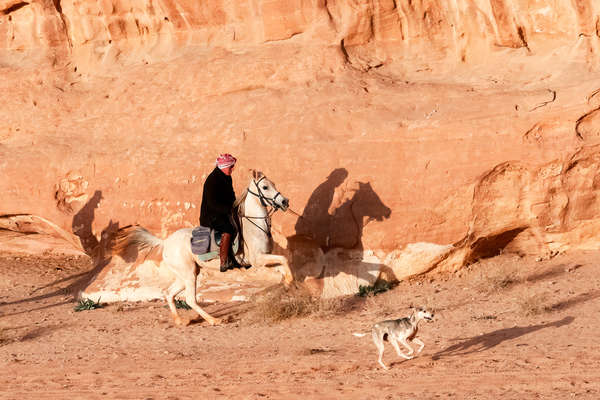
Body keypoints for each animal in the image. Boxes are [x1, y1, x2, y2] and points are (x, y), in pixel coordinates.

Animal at [113, 169, 294, 324]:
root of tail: (166, 242)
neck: (254, 225)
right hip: (189, 274)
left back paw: (180, 321)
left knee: (169, 293)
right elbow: (284, 259)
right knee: (190, 299)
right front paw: (290, 282)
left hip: (186, 274)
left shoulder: (264, 259)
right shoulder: (258, 259)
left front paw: (287, 284)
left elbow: (281, 265)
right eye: (265, 187)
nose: (285, 201)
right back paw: (214, 320)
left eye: (274, 184)